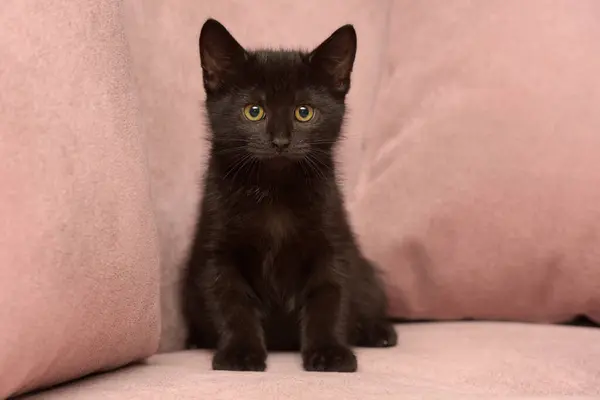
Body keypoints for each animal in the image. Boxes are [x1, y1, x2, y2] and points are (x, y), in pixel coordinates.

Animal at [183, 18, 398, 374]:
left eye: (304, 112)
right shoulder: (216, 248)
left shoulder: (333, 242)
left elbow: (330, 297)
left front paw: (329, 352)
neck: (275, 192)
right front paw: (240, 353)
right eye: (254, 111)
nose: (281, 141)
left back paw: (376, 331)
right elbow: (229, 301)